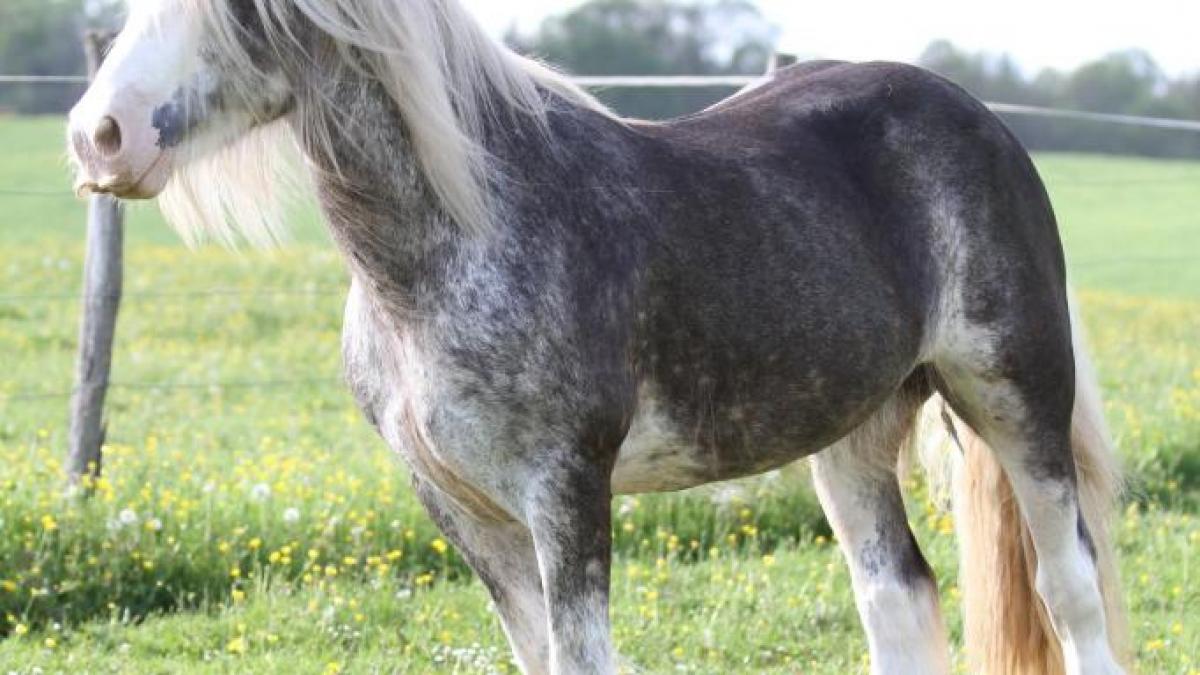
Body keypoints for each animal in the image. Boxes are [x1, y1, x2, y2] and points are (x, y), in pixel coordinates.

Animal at [70, 2, 1128, 667]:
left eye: (235, 6)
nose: (99, 137)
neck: (461, 238)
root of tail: (981, 120)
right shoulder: (459, 506)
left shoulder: (565, 491)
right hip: (852, 436)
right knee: (898, 599)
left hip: (1015, 394)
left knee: (1068, 585)